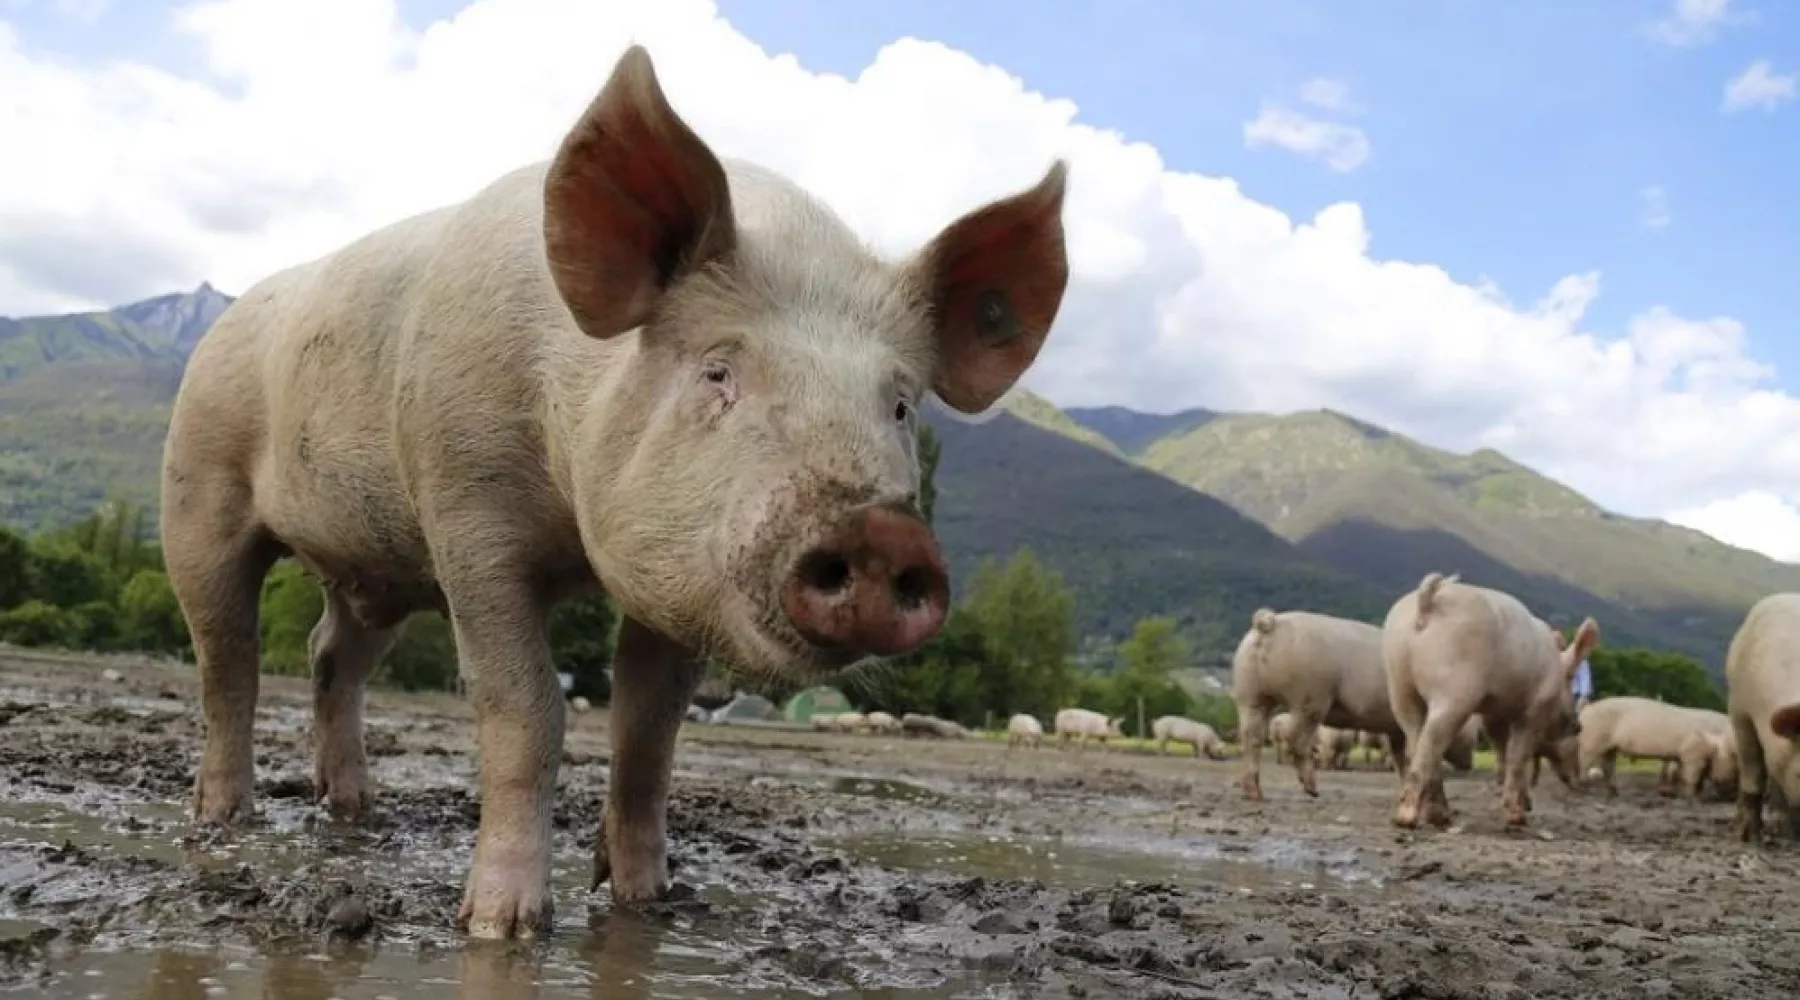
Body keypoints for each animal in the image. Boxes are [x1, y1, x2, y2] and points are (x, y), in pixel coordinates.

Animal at [154, 42, 1065, 942]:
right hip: (198, 485)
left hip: (374, 571)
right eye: (718, 371)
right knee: (228, 658)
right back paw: (223, 818)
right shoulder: (467, 515)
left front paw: (649, 903)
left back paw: (353, 808)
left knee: (328, 656)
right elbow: (526, 711)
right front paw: (505, 927)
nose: (882, 534)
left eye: (901, 404)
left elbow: (648, 736)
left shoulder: (680, 579)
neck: (573, 534)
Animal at [1382, 575, 1598, 830]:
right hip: (1454, 687)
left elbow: (1502, 751)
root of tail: (1426, 602)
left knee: (1414, 737)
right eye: (1571, 680)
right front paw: (1517, 818)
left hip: (1398, 682)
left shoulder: (1493, 712)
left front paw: (1524, 804)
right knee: (1430, 743)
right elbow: (1518, 755)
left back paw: (1441, 817)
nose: (1578, 725)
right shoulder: (1537, 706)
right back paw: (1407, 819)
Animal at [1576, 697, 1728, 802]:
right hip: (1592, 740)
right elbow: (1691, 775)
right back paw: (1585, 789)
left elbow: (1687, 774)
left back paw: (1615, 793)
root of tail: (1588, 708)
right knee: (1585, 761)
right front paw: (1691, 797)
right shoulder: (1693, 753)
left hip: (1611, 747)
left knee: (1607, 766)